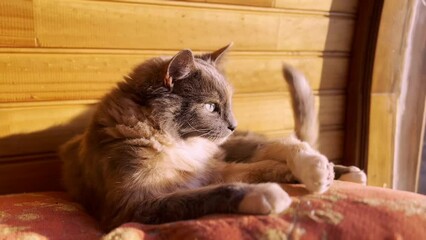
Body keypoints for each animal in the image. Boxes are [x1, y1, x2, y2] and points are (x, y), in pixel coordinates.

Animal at [60, 43, 366, 231]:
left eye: (228, 103)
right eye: (210, 106)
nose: (233, 124)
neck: (173, 141)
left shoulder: (211, 167)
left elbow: (261, 165)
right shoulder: (133, 204)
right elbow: (212, 193)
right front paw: (267, 194)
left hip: (229, 147)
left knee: (284, 145)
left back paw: (330, 171)